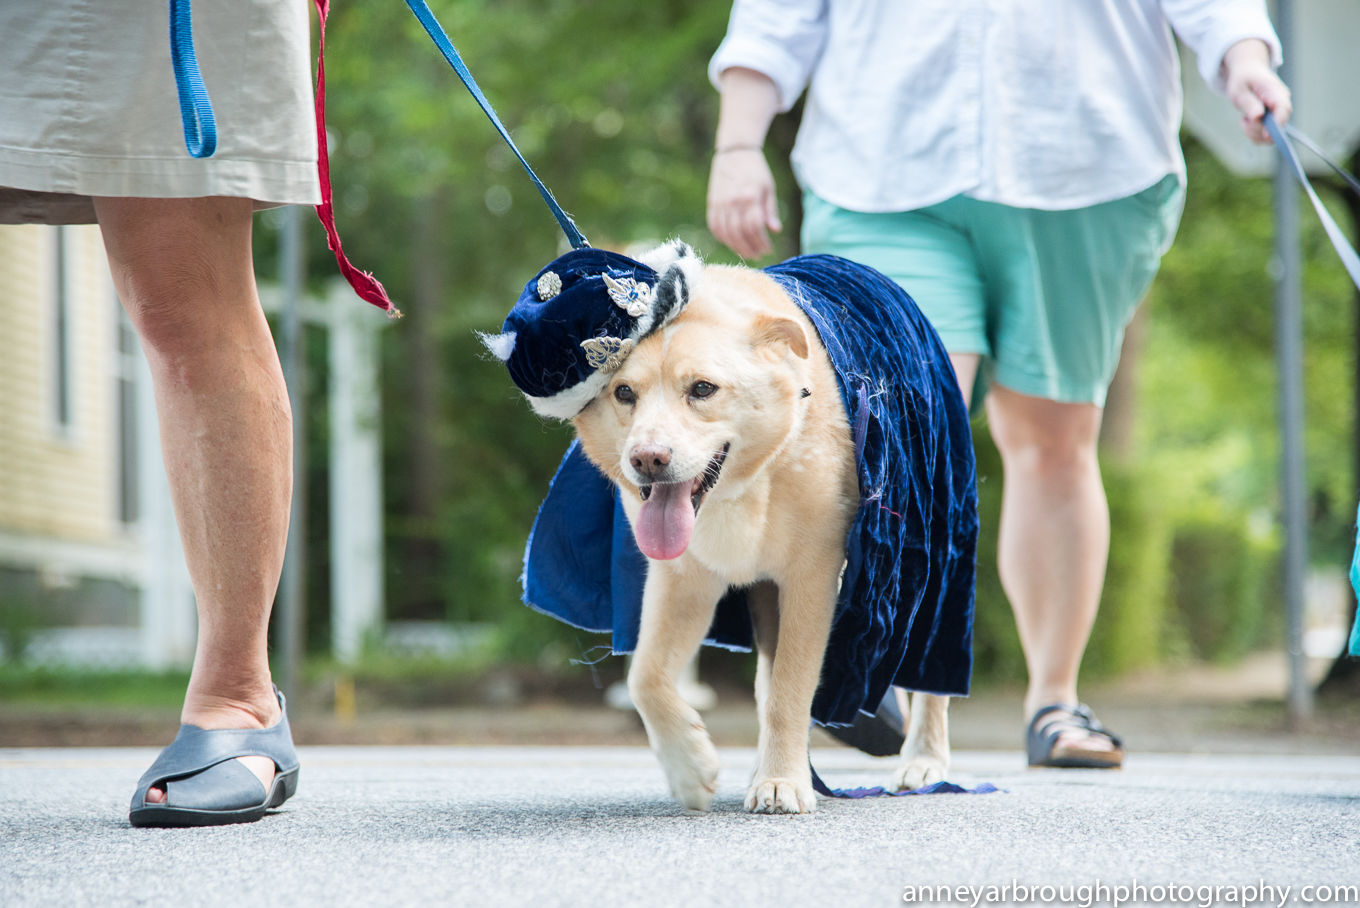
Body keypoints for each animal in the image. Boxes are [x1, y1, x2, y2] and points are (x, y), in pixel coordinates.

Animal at [568, 244, 952, 810]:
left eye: (703, 389)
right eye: (624, 393)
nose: (647, 460)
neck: (746, 485)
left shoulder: (812, 578)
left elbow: (790, 691)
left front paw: (781, 783)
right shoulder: (684, 578)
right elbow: (647, 678)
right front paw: (691, 767)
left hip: (929, 568)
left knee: (927, 678)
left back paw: (924, 760)